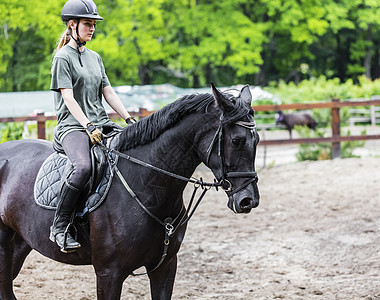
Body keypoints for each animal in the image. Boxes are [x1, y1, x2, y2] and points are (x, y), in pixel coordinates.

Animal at [0, 83, 262, 298]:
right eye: (237, 140)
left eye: (257, 139)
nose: (248, 200)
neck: (148, 185)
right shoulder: (108, 273)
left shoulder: (165, 267)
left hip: (21, 242)